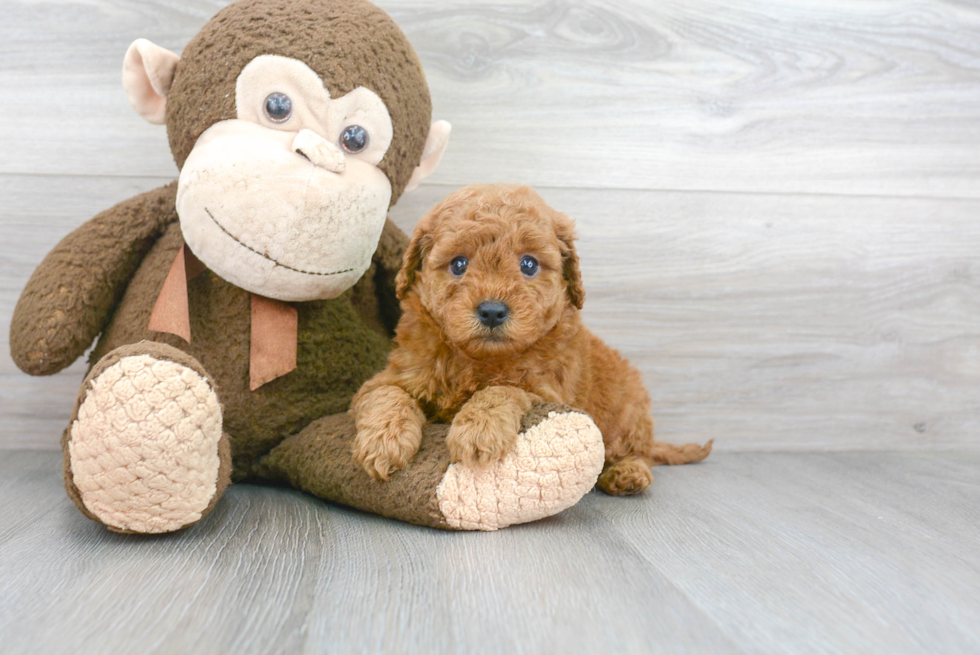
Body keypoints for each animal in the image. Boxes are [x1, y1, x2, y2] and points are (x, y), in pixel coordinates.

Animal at [352, 183, 712, 492]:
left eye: (528, 264)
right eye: (458, 264)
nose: (492, 311)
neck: (476, 359)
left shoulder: (545, 389)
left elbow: (501, 390)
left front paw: (478, 430)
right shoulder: (392, 376)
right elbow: (388, 395)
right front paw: (383, 442)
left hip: (628, 415)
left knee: (636, 452)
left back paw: (628, 473)